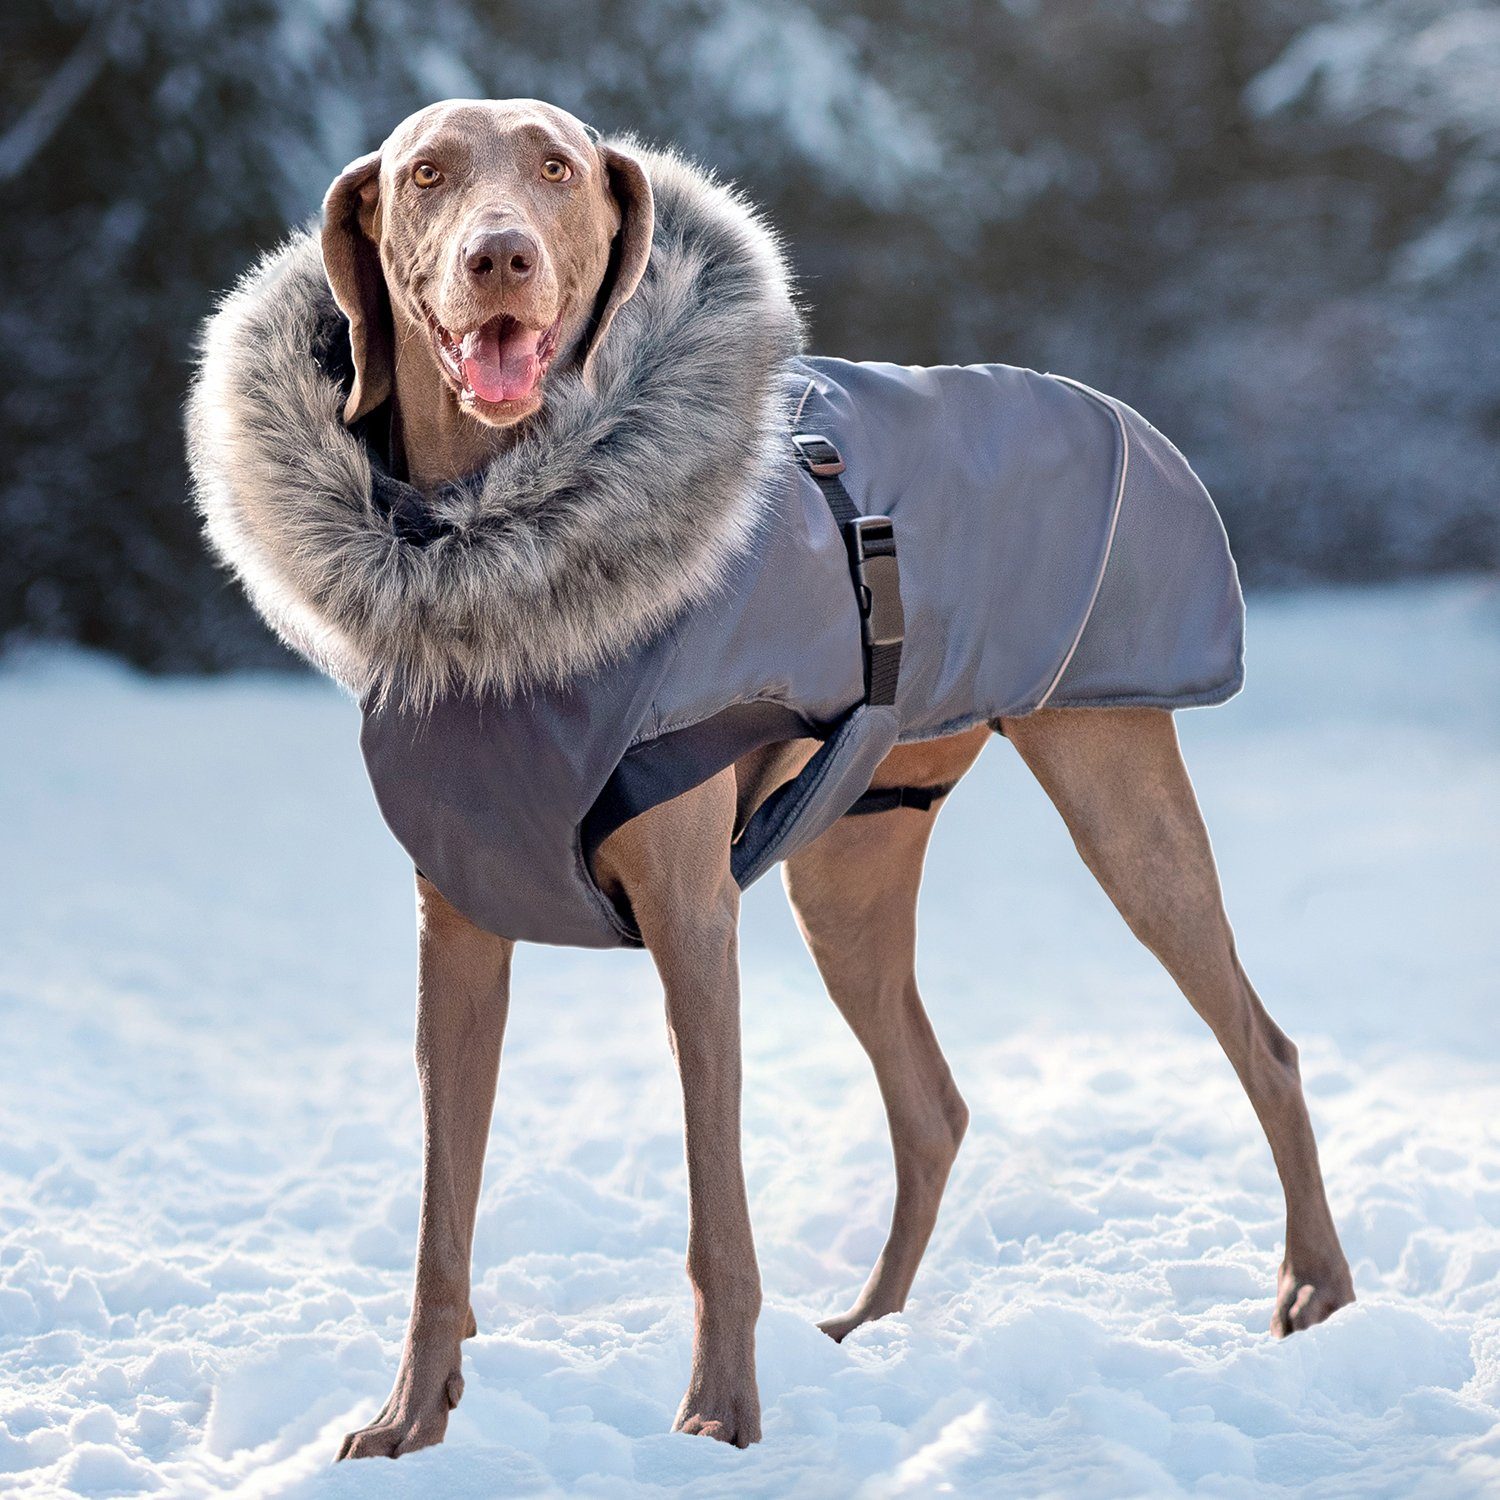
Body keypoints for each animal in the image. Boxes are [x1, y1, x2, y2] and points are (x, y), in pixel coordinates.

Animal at [184, 96, 1350, 1452]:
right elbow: (440, 1219)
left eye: (556, 167)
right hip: (852, 860)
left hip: (1123, 802)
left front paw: (720, 1418)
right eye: (426, 173)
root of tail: (1119, 410)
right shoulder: (457, 930)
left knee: (1265, 1046)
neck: (502, 551)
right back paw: (869, 1325)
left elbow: (717, 1217)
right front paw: (411, 1421)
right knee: (932, 1105)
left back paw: (1317, 1289)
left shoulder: (692, 918)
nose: (499, 257)